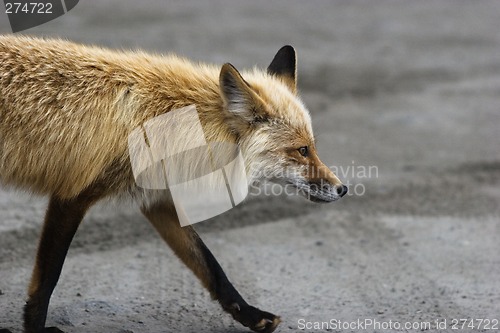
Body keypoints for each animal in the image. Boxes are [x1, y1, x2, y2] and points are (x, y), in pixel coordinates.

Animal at [0, 34, 348, 332]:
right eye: (302, 150)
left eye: (313, 147)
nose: (342, 189)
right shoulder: (74, 195)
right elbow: (49, 277)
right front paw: (35, 327)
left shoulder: (156, 199)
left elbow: (211, 267)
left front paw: (251, 315)